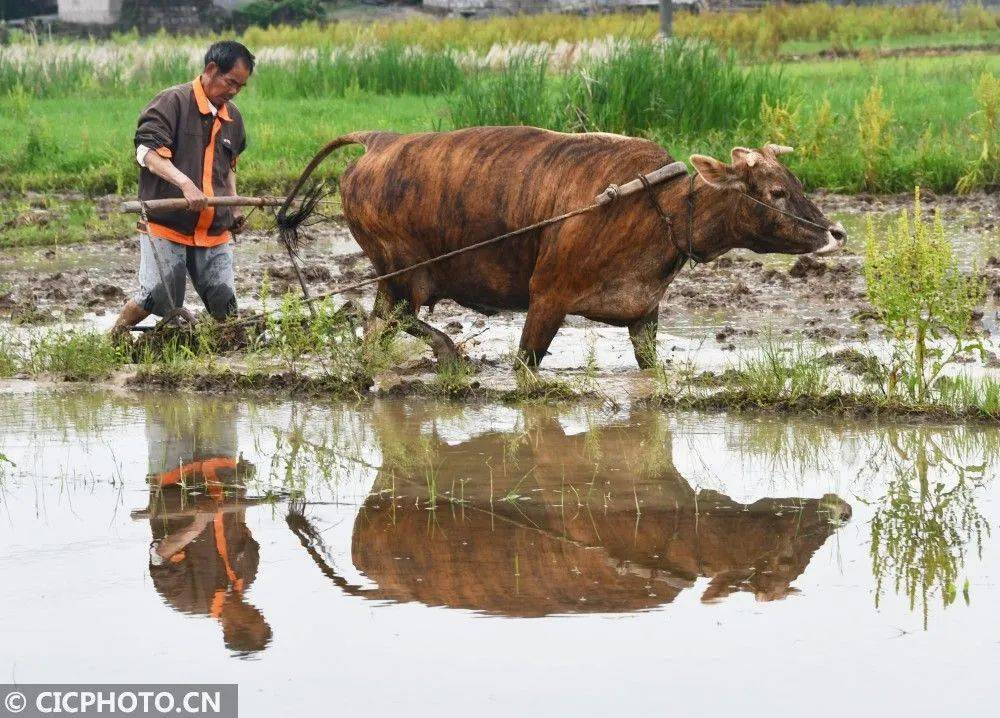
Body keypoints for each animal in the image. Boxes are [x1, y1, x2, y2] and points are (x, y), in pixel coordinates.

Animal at [288, 126, 844, 368]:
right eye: (776, 191)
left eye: (794, 182)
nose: (835, 233)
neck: (657, 206)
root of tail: (380, 140)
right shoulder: (547, 299)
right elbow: (526, 364)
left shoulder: (643, 311)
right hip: (403, 274)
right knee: (392, 321)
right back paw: (445, 353)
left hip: (396, 280)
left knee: (376, 329)